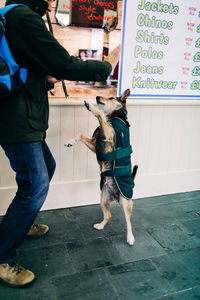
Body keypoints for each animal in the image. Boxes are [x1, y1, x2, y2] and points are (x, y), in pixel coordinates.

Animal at [65, 88, 138, 245]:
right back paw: (100, 225)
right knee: (109, 215)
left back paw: (130, 237)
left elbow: (99, 115)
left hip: (125, 201)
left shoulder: (108, 134)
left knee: (128, 220)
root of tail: (115, 197)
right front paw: (71, 141)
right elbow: (81, 134)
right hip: (103, 198)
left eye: (111, 97)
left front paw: (91, 107)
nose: (97, 96)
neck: (115, 115)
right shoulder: (95, 145)